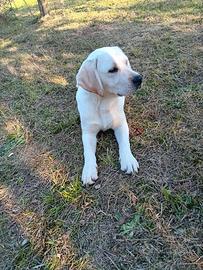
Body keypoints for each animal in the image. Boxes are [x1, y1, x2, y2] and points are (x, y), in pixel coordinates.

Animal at [76, 47, 143, 186]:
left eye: (126, 62)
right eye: (112, 70)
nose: (139, 79)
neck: (103, 101)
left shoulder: (121, 125)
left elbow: (125, 143)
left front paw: (128, 159)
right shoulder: (88, 133)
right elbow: (88, 152)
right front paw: (88, 170)